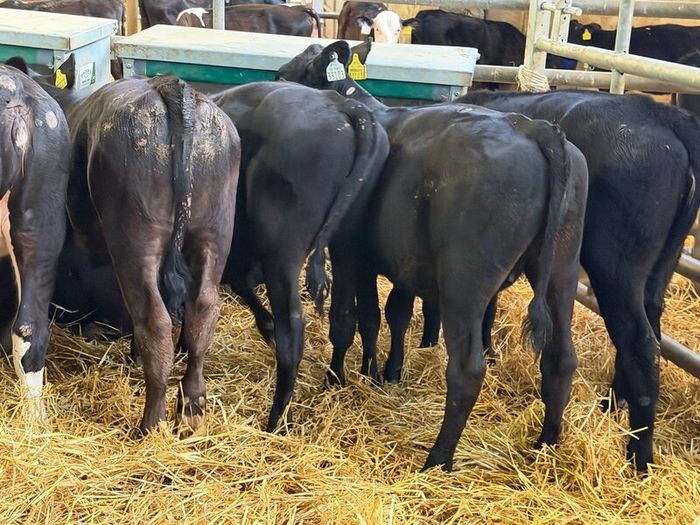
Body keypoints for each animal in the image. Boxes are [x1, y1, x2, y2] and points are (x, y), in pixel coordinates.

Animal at [210, 81, 390, 432]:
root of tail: (341, 105)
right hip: (347, 244)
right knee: (344, 315)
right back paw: (335, 380)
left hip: (284, 252)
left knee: (292, 327)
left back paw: (279, 419)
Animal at [277, 40, 589, 472]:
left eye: (298, 68)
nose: (276, 79)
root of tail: (532, 126)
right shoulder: (401, 263)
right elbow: (386, 315)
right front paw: (381, 373)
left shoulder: (347, 251)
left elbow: (346, 318)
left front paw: (336, 378)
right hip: (562, 269)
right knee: (561, 359)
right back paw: (547, 446)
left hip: (466, 280)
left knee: (467, 369)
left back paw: (438, 459)